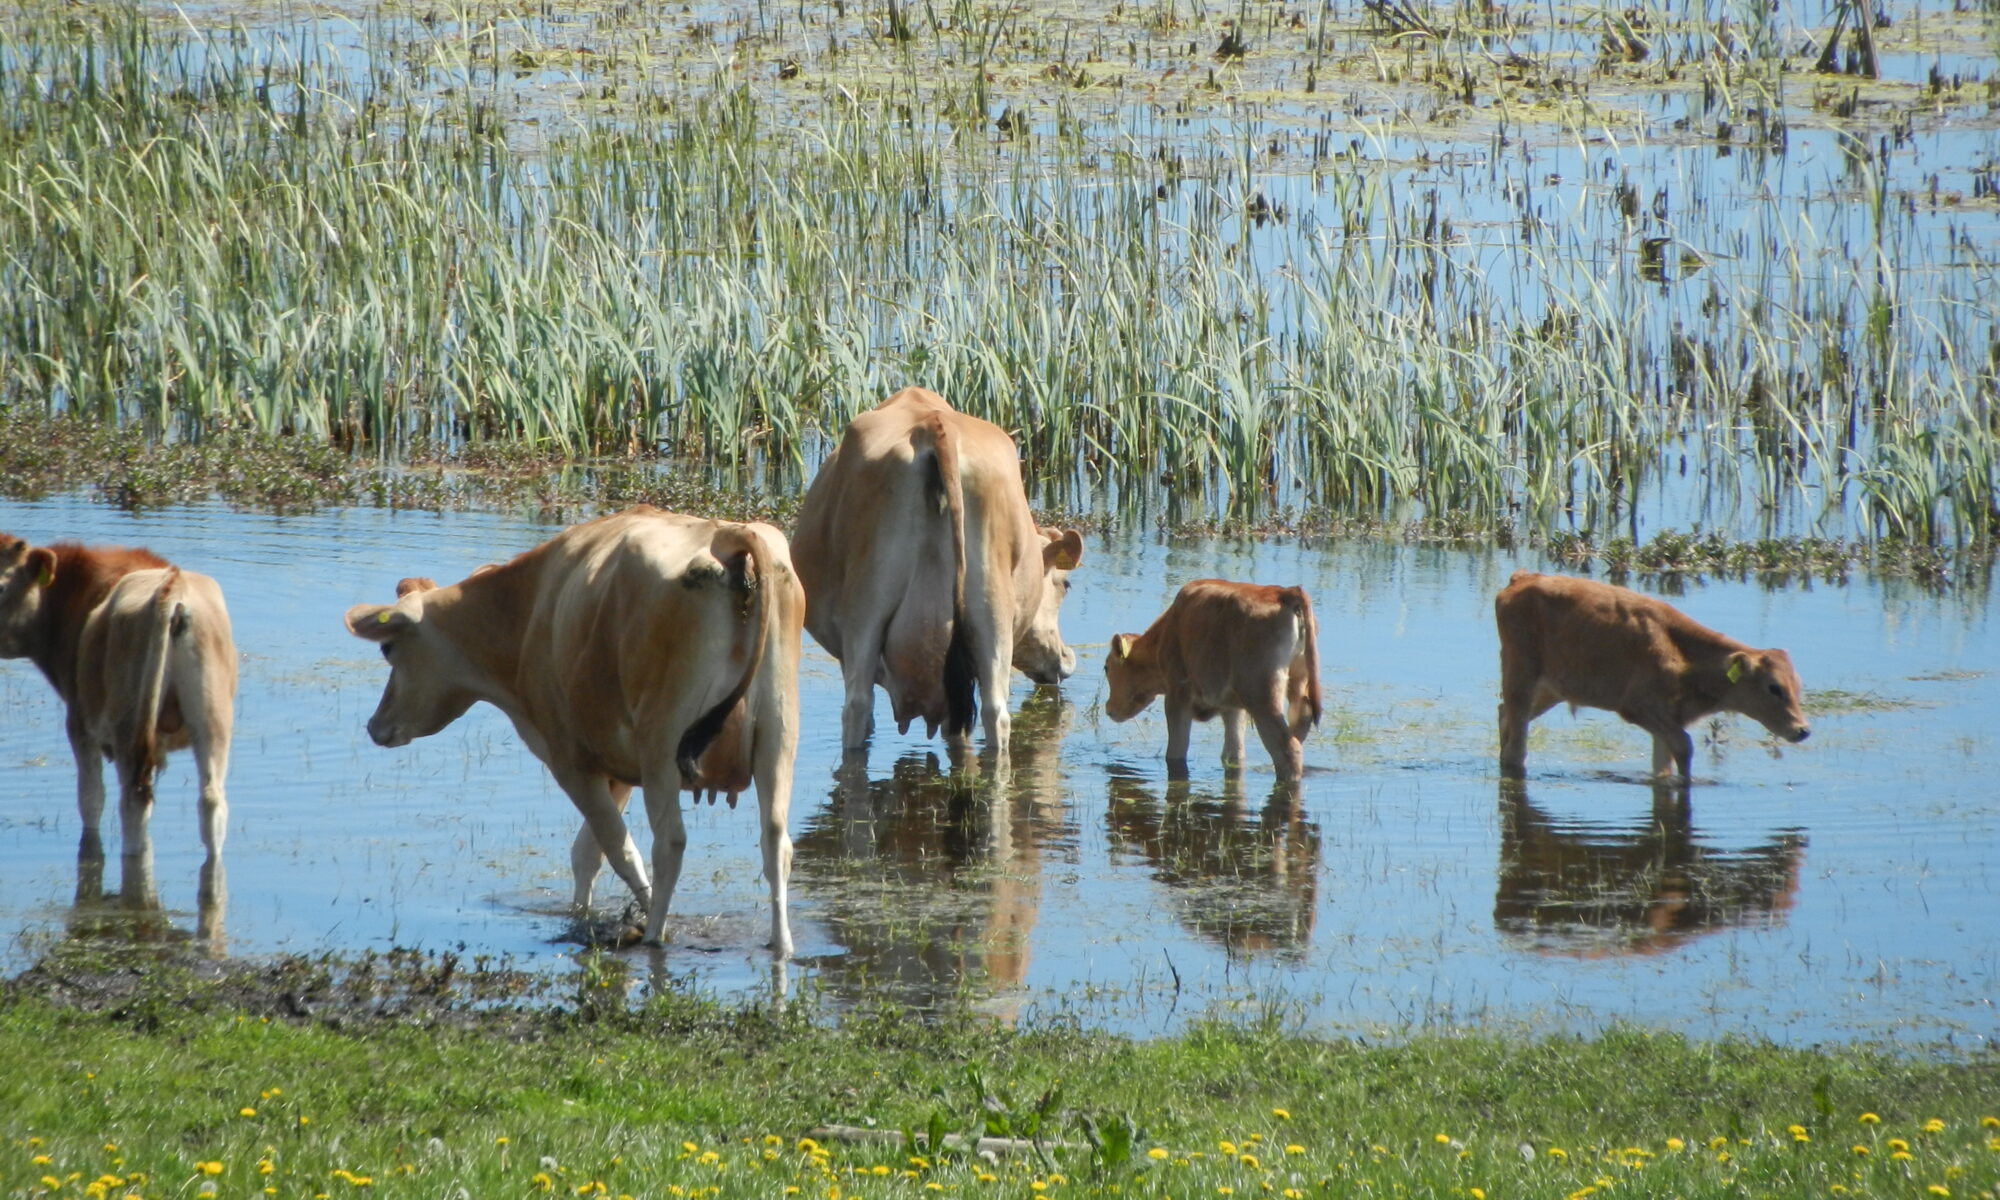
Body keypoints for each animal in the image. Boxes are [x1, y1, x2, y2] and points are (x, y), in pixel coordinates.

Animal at [344, 506, 804, 956]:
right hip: (778, 733)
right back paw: (780, 942)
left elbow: (617, 848)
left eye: (388, 648)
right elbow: (587, 852)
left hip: (662, 739)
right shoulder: (616, 764)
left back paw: (656, 936)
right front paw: (580, 916)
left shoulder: (569, 758)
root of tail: (727, 535)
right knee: (775, 841)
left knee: (669, 843)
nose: (375, 724)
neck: (526, 610)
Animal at [788, 390, 1088, 756]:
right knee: (994, 713)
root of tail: (935, 424)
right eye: (1064, 584)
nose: (1067, 658)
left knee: (859, 707)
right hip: (987, 613)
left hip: (867, 607)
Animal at [1104, 580, 1320, 780]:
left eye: (1106, 668)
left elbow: (1176, 751)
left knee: (1288, 748)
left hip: (1261, 695)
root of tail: (1285, 592)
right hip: (1297, 681)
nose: (1108, 709)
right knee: (1302, 718)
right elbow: (1234, 753)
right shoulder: (1233, 708)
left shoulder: (1177, 694)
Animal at [1504, 568, 1816, 780]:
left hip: (1550, 690)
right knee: (1515, 738)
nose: (1802, 730)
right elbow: (1685, 747)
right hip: (1522, 679)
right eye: (1774, 687)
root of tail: (1522, 579)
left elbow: (1663, 764)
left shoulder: (1666, 720)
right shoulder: (1638, 707)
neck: (1683, 653)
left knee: (1503, 717)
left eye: (1797, 686)